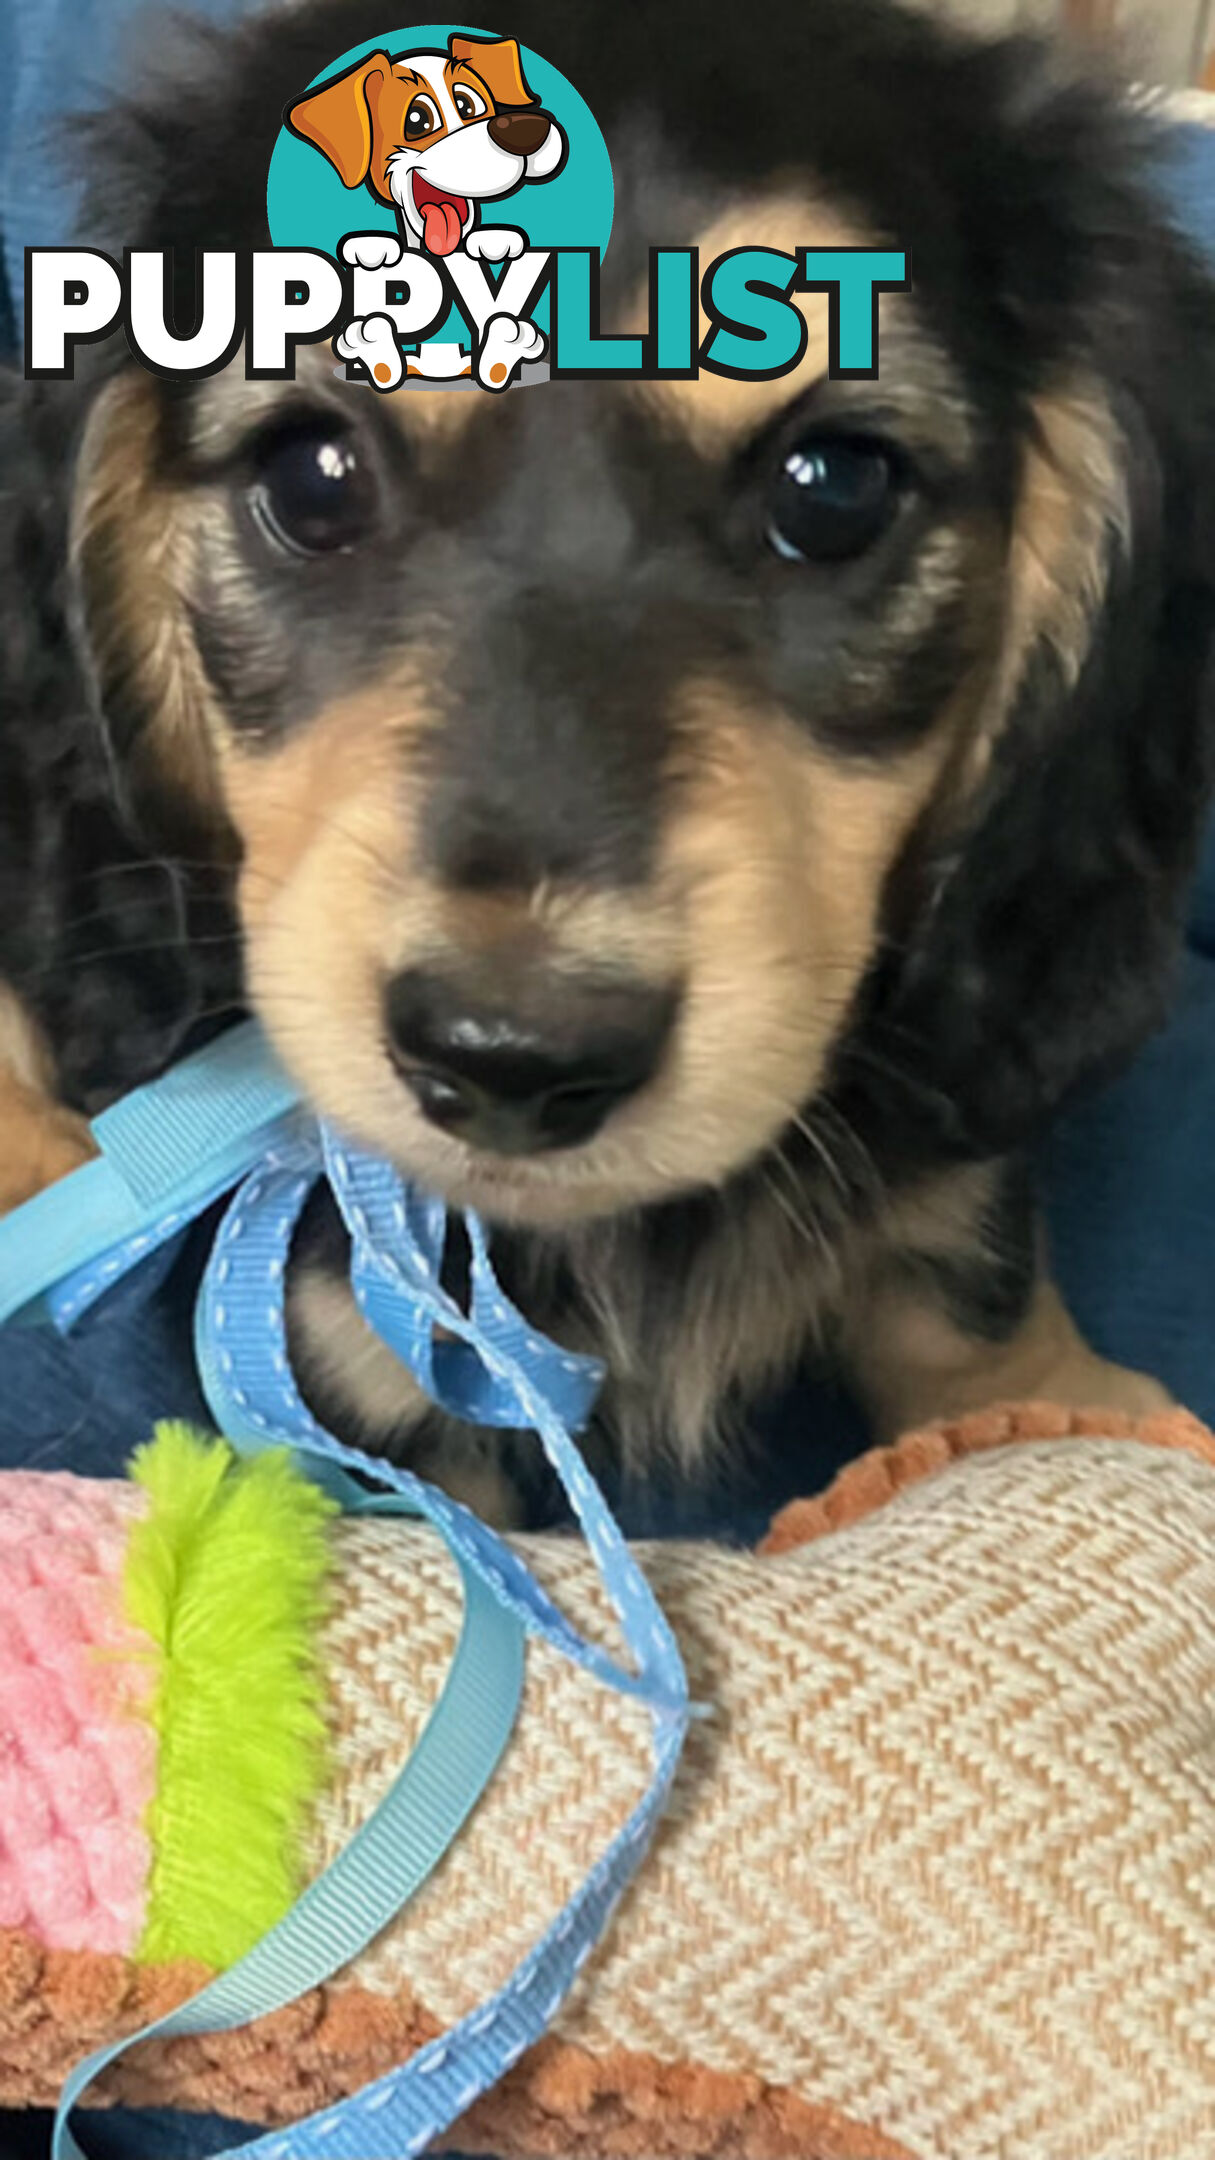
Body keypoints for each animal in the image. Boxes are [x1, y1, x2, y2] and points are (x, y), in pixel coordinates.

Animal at [2, 0, 1210, 1520]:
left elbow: (965, 1284)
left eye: (835, 485)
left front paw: (1065, 1407)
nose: (514, 1062)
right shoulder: (355, 1367)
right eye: (311, 476)